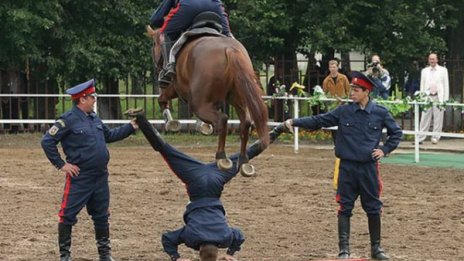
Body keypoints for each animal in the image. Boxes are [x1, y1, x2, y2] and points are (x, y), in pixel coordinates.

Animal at [145, 25, 268, 176]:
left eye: (153, 44)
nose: (157, 67)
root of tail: (230, 49)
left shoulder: (175, 87)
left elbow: (161, 99)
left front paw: (171, 122)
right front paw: (202, 126)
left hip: (199, 104)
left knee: (222, 120)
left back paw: (221, 157)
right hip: (239, 100)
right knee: (245, 123)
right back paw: (244, 161)